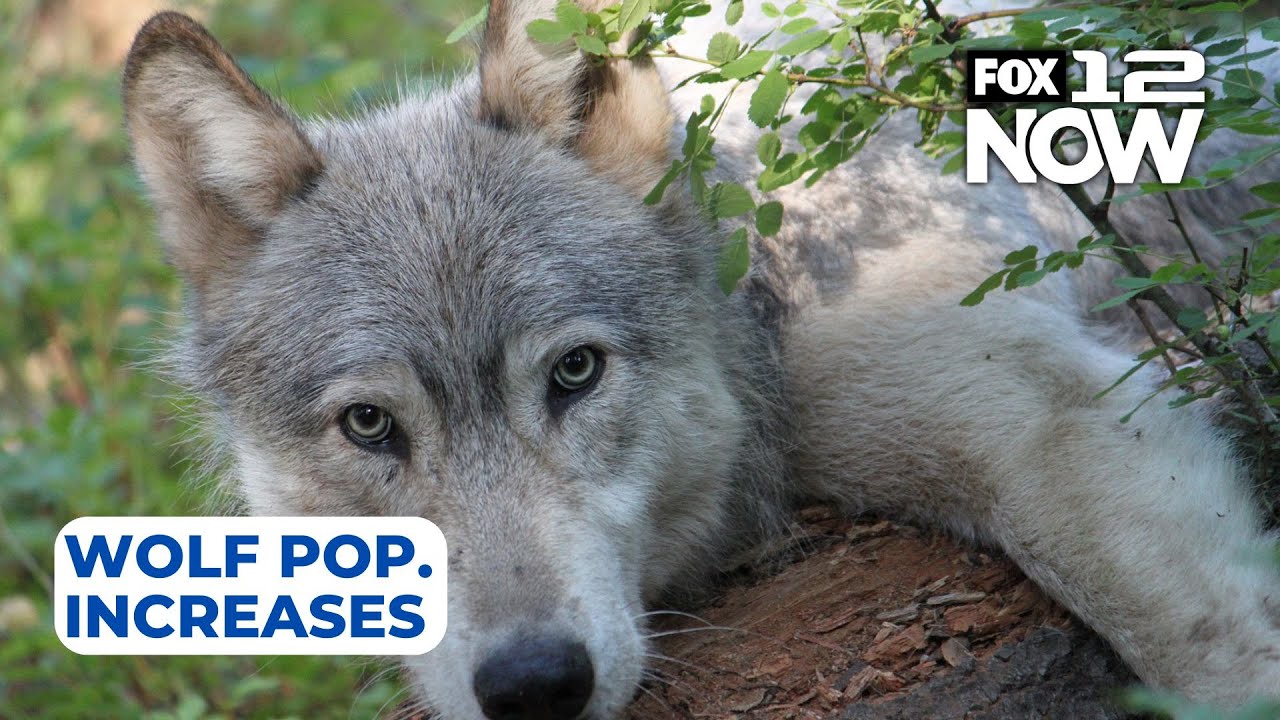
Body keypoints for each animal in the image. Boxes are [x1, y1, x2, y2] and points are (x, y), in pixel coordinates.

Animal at [121, 0, 1280, 717]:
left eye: (574, 373)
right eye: (370, 426)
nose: (535, 685)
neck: (761, 278)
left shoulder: (1029, 411)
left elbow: (1213, 649)